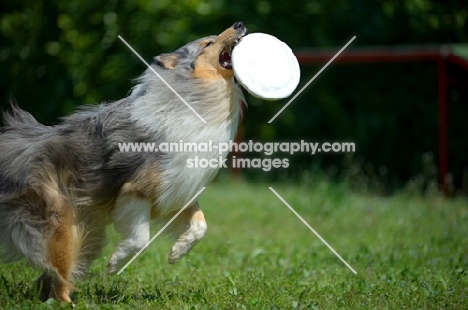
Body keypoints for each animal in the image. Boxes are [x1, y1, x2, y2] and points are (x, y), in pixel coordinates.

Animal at [0, 21, 247, 302]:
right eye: (208, 43)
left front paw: (177, 252)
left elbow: (201, 225)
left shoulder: (178, 188)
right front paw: (116, 263)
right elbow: (141, 238)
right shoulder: (136, 190)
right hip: (62, 224)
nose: (239, 24)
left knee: (50, 277)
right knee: (59, 276)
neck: (198, 95)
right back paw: (70, 303)